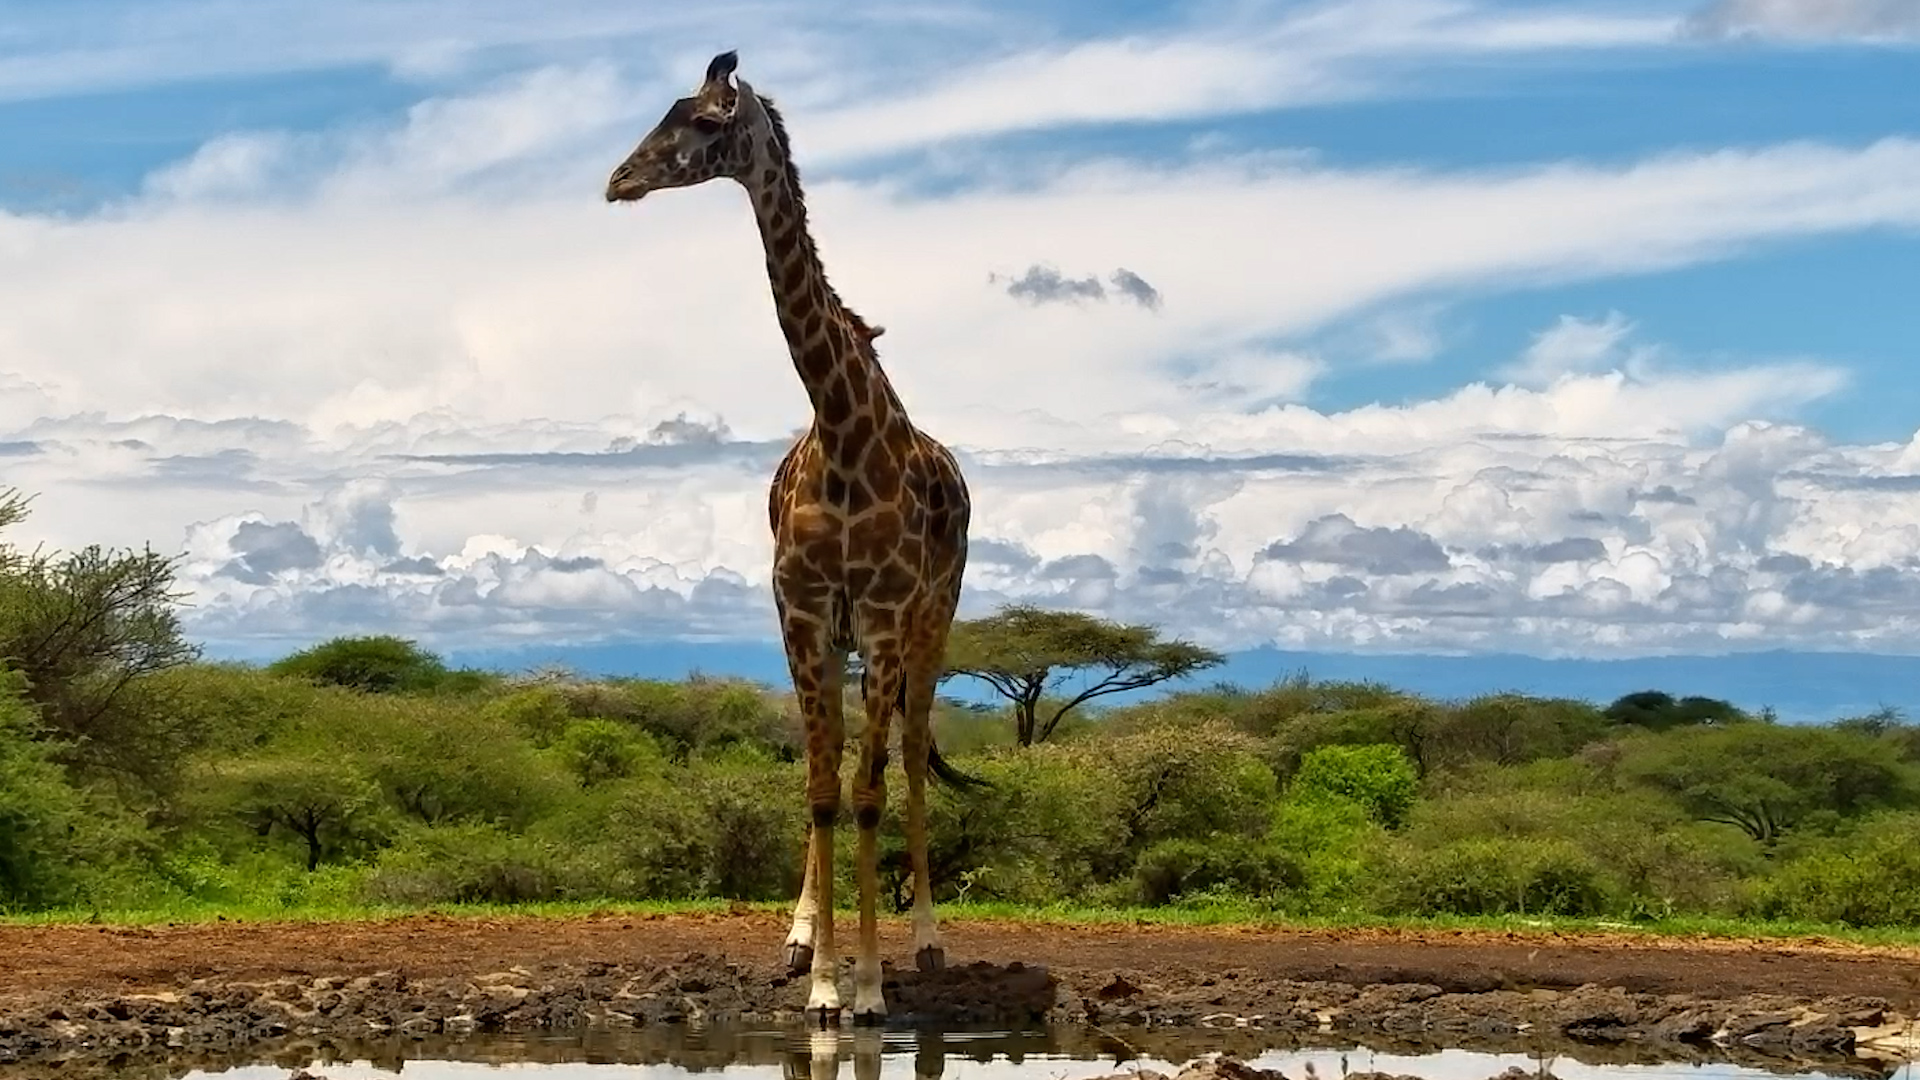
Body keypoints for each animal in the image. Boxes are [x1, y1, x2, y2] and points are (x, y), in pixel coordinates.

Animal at [605, 50, 980, 1025]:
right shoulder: (806, 619)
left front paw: (874, 986)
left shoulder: (881, 619)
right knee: (841, 766)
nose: (619, 180)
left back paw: (927, 941)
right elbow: (820, 789)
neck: (844, 430)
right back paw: (806, 935)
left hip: (933, 626)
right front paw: (820, 980)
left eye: (703, 121)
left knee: (906, 757)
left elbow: (869, 791)